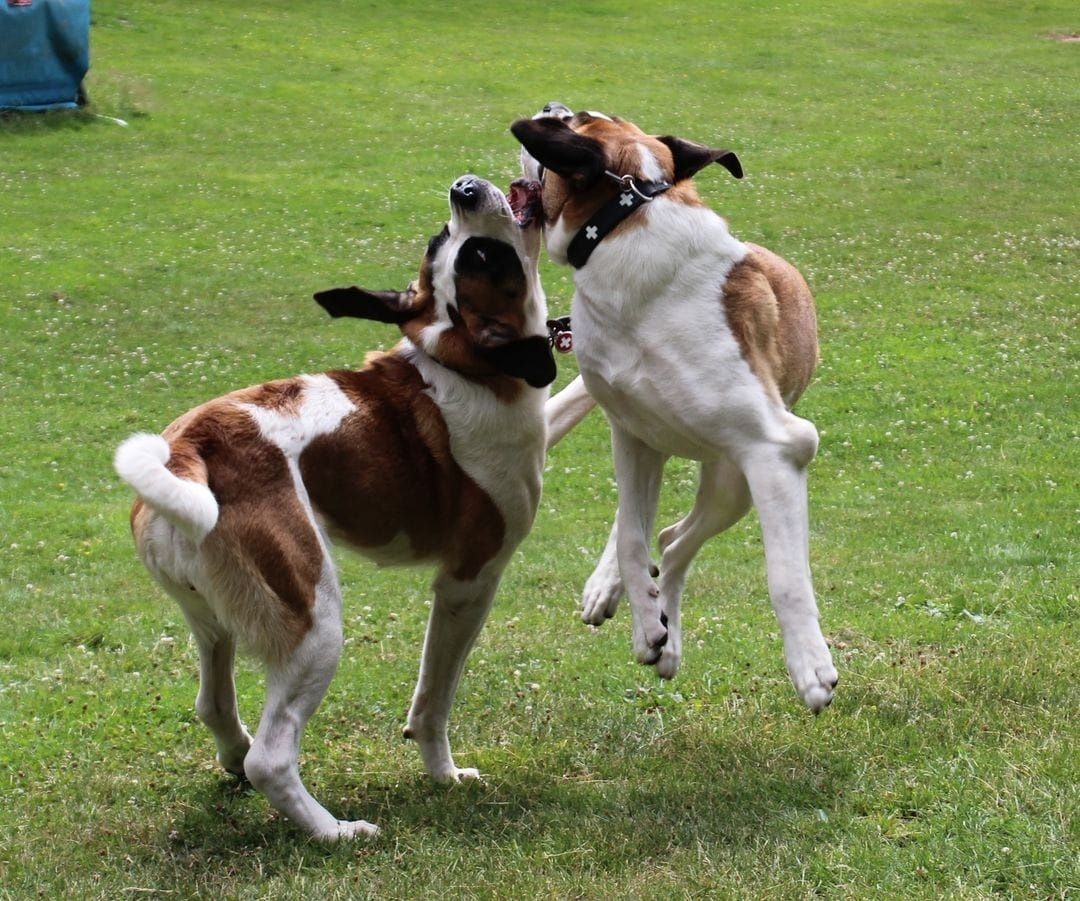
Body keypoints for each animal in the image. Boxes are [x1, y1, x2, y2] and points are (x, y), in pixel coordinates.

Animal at [116, 173, 557, 834]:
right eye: (480, 256)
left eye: (454, 243)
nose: (463, 188)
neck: (465, 362)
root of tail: (192, 446)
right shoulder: (468, 582)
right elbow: (434, 698)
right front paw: (443, 775)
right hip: (313, 622)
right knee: (272, 758)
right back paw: (336, 832)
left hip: (212, 620)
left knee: (214, 705)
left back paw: (237, 756)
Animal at [509, 105, 838, 708]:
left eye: (571, 120)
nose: (547, 107)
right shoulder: (632, 433)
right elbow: (633, 538)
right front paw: (645, 619)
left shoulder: (778, 448)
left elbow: (785, 575)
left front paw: (811, 666)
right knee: (659, 536)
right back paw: (648, 620)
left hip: (733, 479)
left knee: (678, 541)